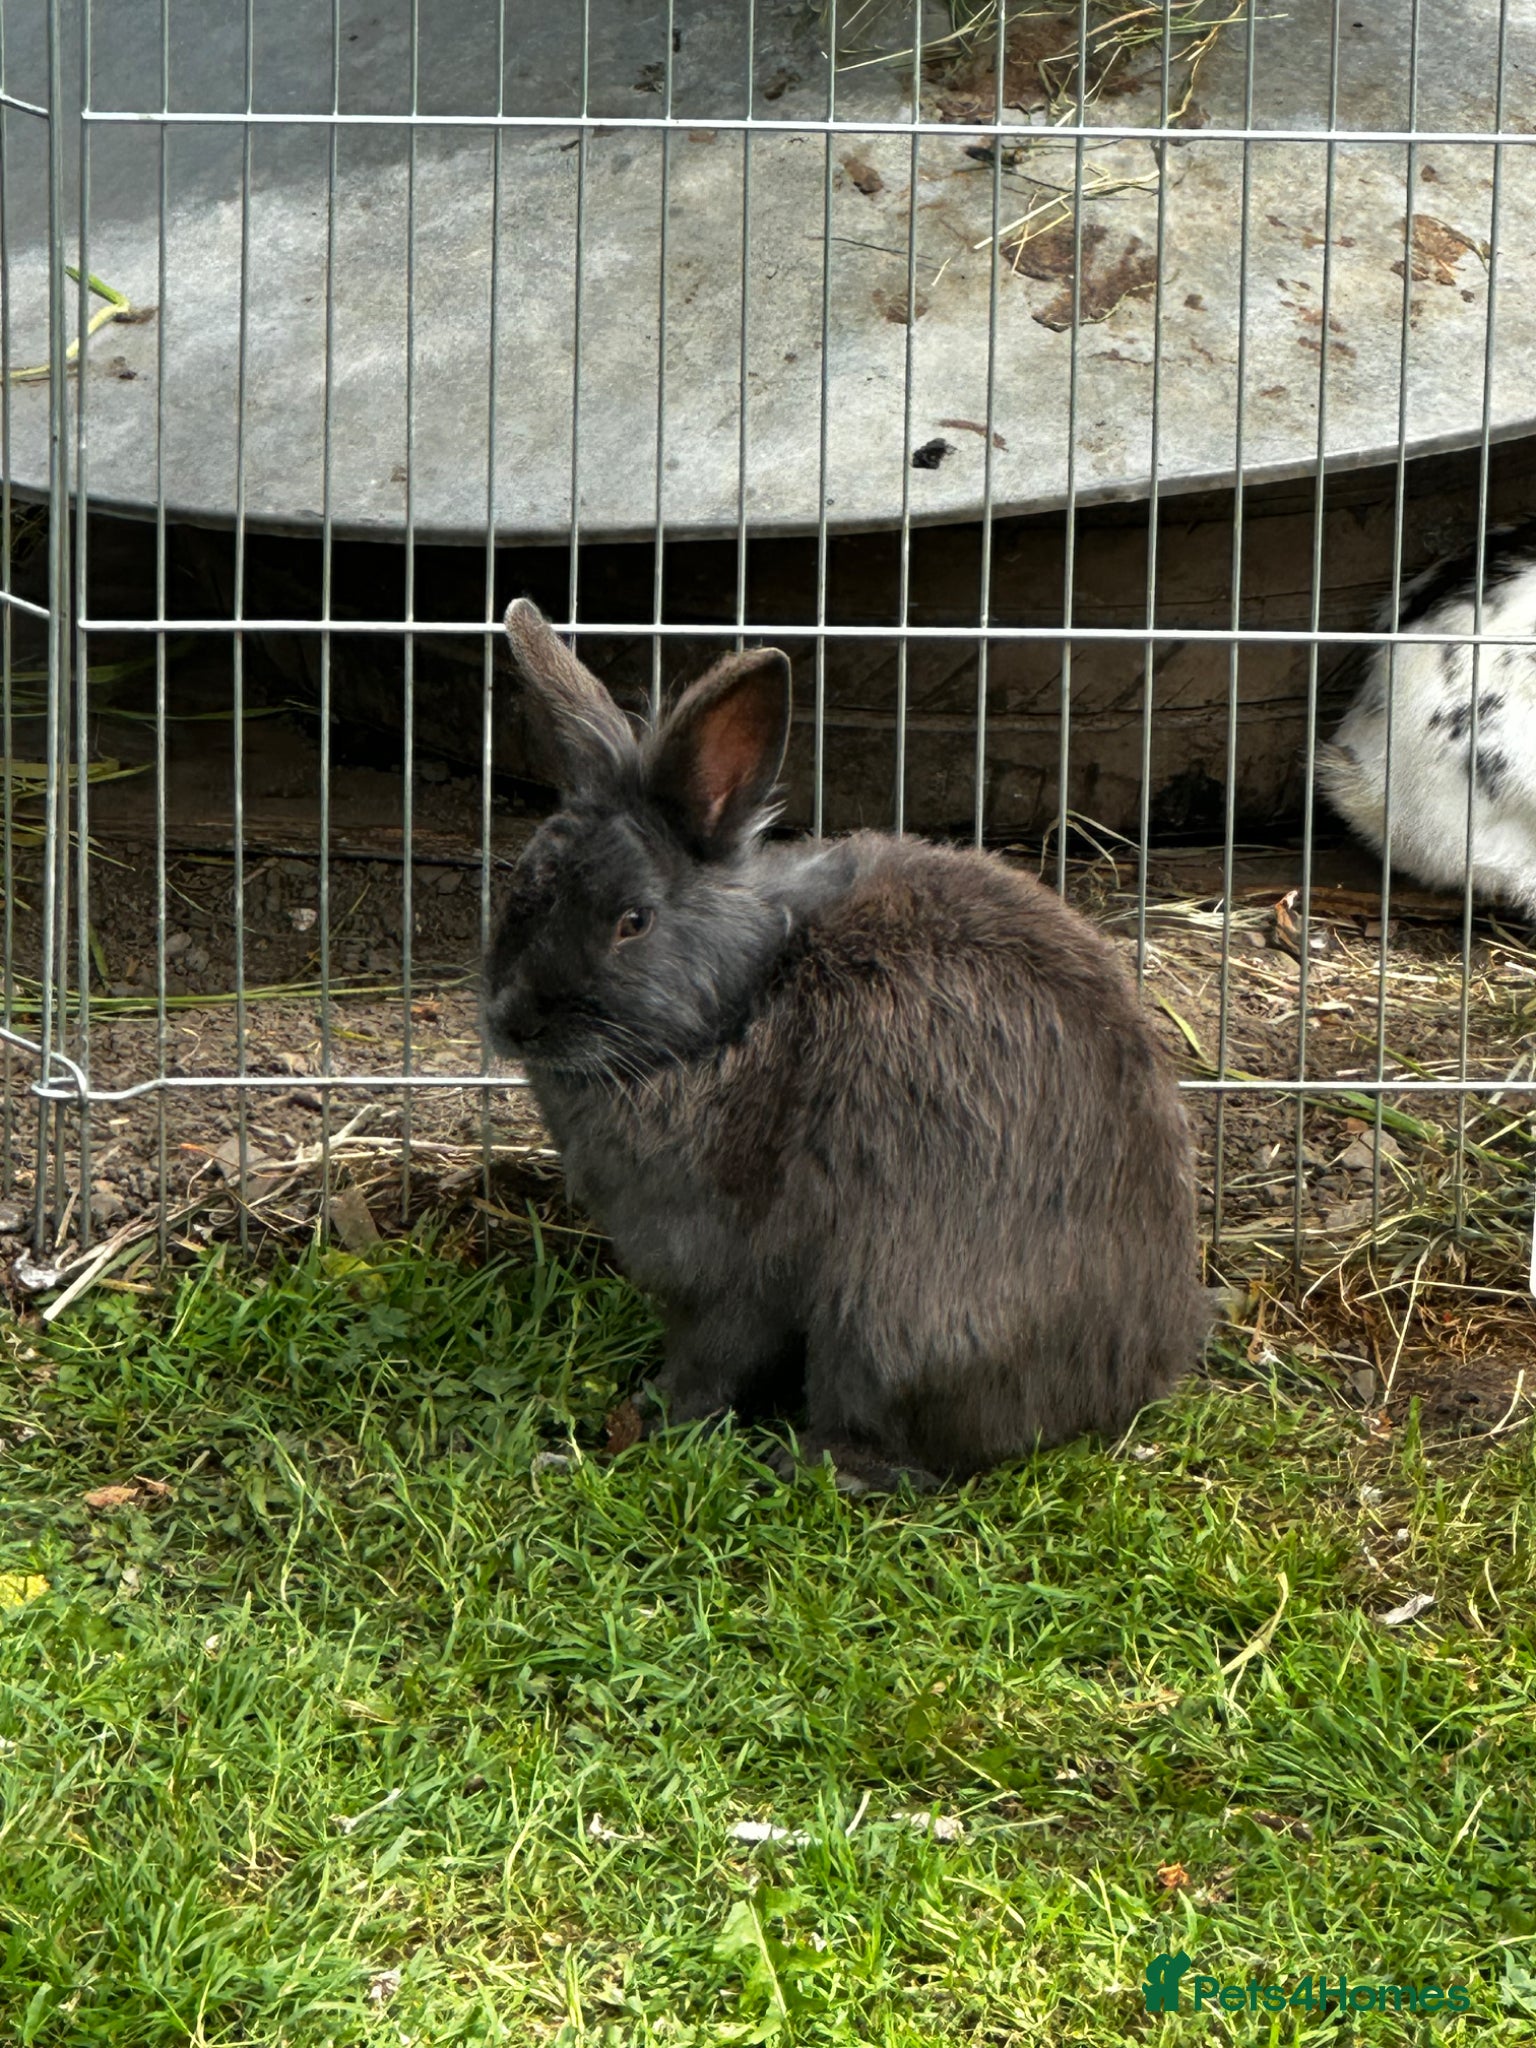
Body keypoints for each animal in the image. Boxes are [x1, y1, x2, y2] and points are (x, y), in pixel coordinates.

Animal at [484, 599, 1208, 1488]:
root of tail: (1134, 1375)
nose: (514, 1020)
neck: (739, 1004)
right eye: (521, 889)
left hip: (884, 1323)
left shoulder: (734, 1274)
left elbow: (711, 1361)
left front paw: (645, 1419)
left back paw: (805, 1457)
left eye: (633, 921)